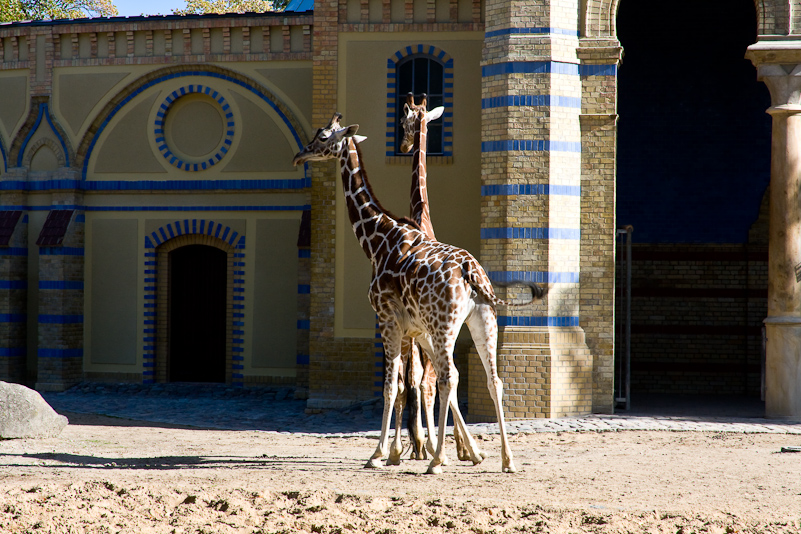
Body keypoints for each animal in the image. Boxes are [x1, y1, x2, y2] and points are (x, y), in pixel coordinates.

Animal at [290, 114, 548, 478]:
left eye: (324, 136)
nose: (300, 155)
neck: (377, 238)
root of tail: (471, 271)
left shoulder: (387, 319)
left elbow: (393, 386)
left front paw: (380, 454)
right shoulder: (412, 328)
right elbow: (407, 385)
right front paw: (445, 451)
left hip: (445, 326)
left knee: (447, 378)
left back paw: (437, 460)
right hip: (482, 321)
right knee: (492, 380)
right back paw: (507, 460)